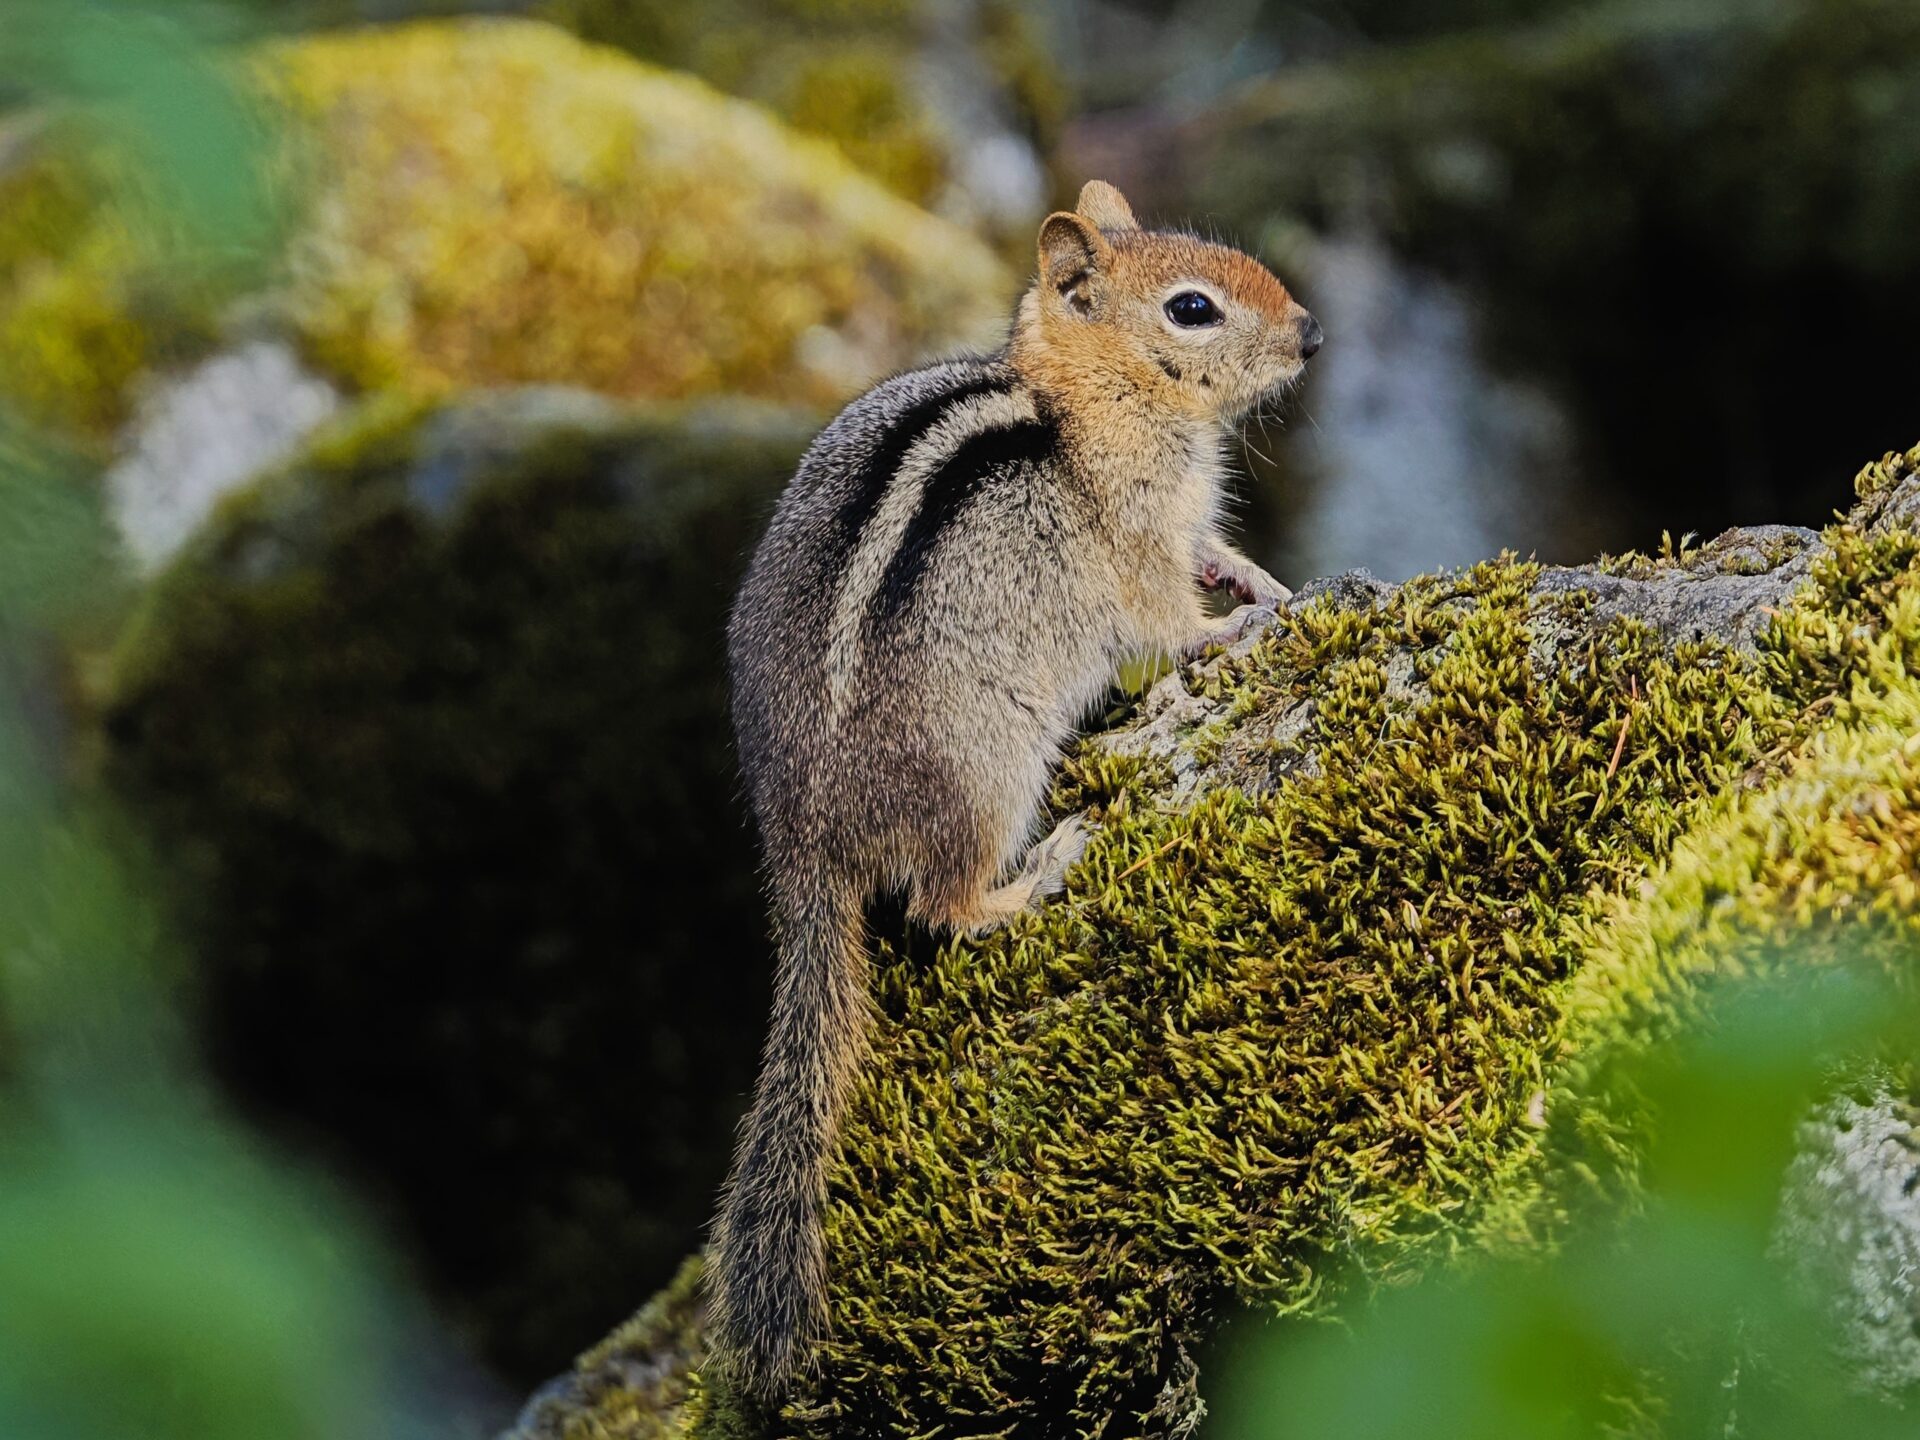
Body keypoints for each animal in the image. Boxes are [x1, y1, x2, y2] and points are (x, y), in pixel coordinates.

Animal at [709, 180, 1322, 1396]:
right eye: (1193, 308)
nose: (1310, 335)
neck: (1083, 395)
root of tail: (802, 847)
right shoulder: (1136, 543)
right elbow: (1169, 614)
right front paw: (1229, 631)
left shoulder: (1183, 522)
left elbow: (1217, 553)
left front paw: (1267, 581)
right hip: (988, 768)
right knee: (942, 907)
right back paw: (1039, 872)